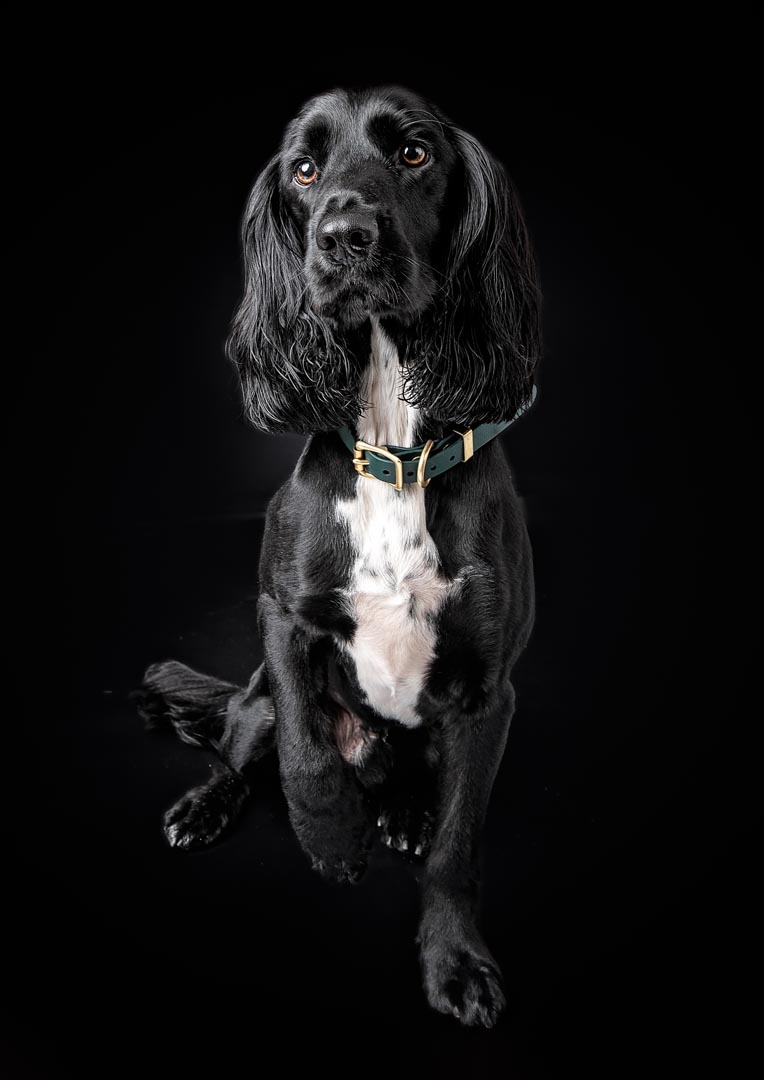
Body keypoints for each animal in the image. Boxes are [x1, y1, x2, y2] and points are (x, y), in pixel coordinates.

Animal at [134, 86, 540, 1028]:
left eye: (415, 153)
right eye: (305, 170)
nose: (344, 236)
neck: (393, 443)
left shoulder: (489, 695)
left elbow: (460, 847)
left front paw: (456, 963)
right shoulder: (282, 619)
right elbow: (306, 754)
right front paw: (331, 840)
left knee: (407, 780)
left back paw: (403, 813)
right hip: (250, 697)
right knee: (243, 750)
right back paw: (209, 805)